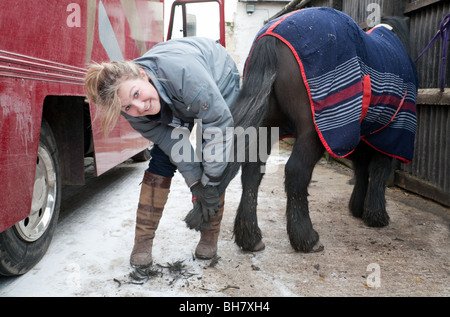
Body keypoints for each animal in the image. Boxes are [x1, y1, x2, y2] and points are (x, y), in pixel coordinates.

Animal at [214, 8, 418, 252]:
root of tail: (272, 35)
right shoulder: (390, 132)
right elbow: (379, 169)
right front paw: (377, 216)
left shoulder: (359, 134)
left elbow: (361, 168)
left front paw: (358, 208)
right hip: (314, 130)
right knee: (296, 172)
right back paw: (306, 238)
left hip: (268, 125)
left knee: (253, 170)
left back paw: (250, 237)